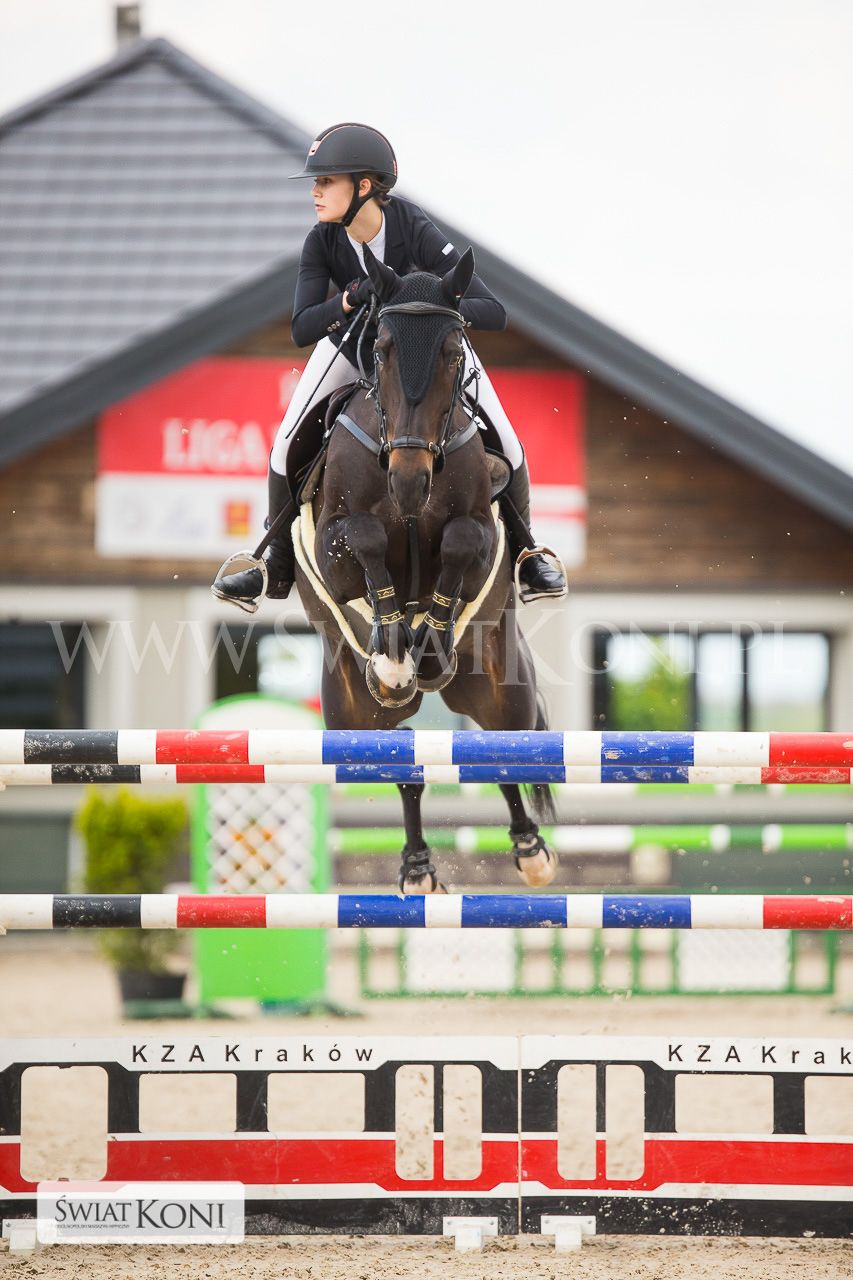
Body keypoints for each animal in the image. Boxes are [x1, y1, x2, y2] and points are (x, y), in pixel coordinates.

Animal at [292, 245, 557, 893]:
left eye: (454, 353)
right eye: (382, 348)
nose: (409, 481)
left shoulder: (481, 534)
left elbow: (461, 543)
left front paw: (427, 645)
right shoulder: (334, 549)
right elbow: (362, 538)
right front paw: (395, 650)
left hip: (500, 687)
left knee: (502, 752)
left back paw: (530, 850)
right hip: (351, 713)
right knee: (403, 758)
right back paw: (416, 868)